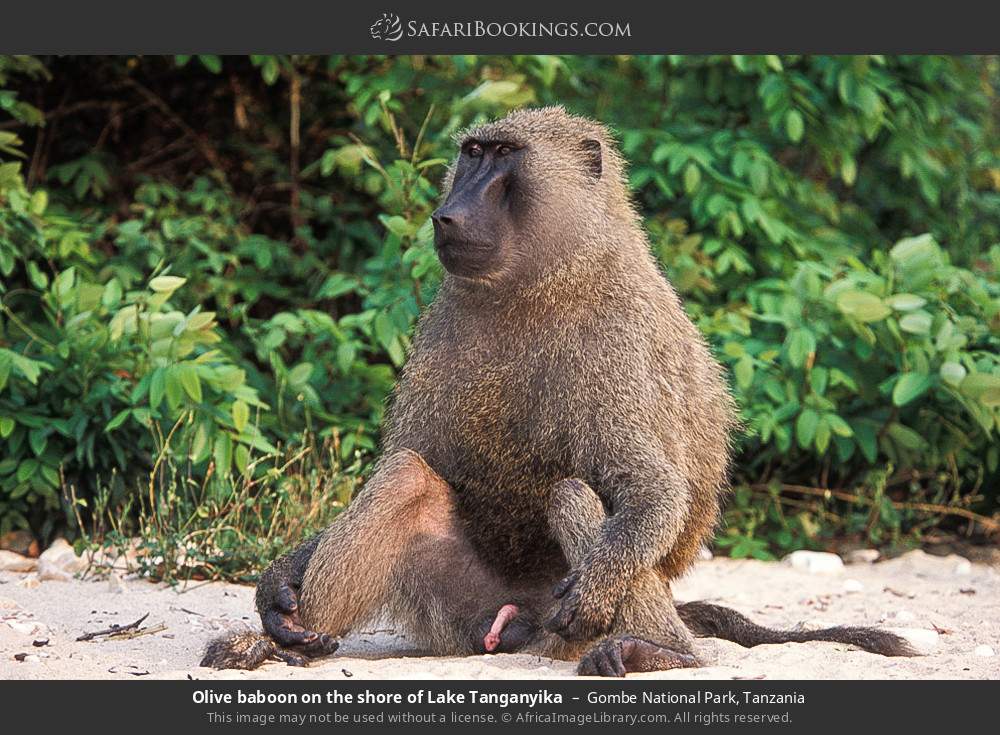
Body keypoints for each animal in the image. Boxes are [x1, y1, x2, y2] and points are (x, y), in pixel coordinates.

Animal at [202, 107, 915, 674]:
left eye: (505, 157)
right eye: (472, 153)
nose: (446, 215)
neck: (543, 278)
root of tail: (514, 622)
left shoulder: (613, 340)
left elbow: (652, 489)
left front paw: (602, 592)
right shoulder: (441, 330)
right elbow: (414, 456)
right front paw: (279, 588)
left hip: (560, 623)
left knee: (575, 497)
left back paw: (660, 651)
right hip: (462, 610)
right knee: (406, 477)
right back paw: (282, 644)